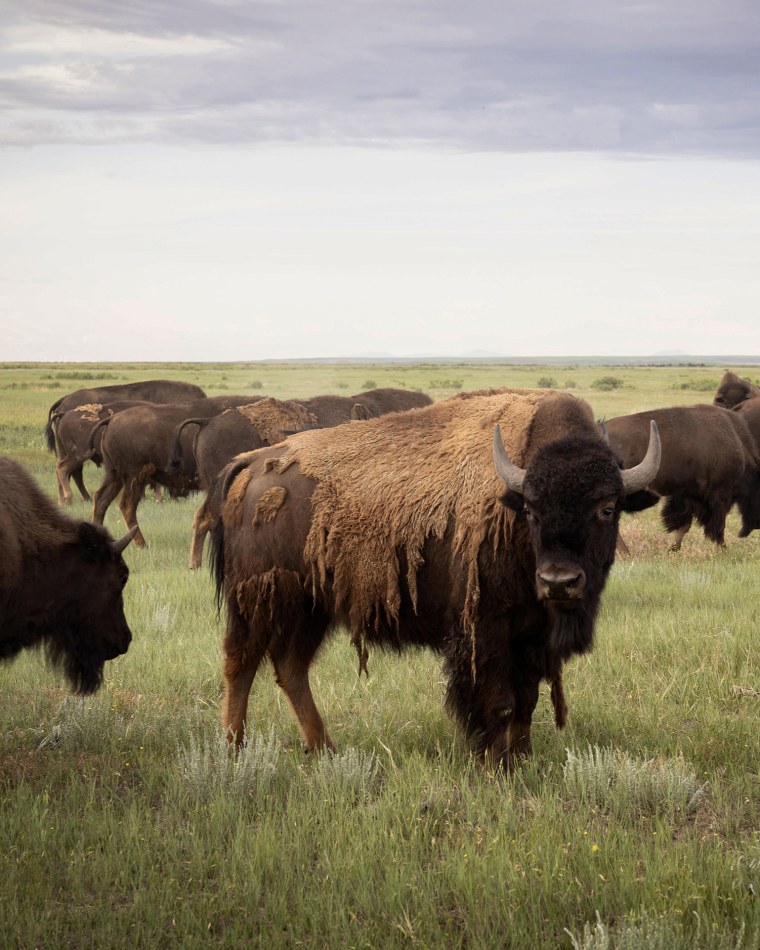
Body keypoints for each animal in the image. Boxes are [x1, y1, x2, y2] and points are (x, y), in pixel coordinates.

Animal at [211, 389, 660, 770]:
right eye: (531, 510)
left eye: (607, 508)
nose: (559, 582)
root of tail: (252, 462)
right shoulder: (484, 630)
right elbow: (500, 701)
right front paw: (496, 766)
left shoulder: (532, 634)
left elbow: (527, 701)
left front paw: (523, 760)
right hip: (261, 601)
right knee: (241, 663)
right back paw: (234, 750)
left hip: (312, 608)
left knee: (290, 668)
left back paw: (324, 749)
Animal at [605, 404, 760, 551]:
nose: (756, 526)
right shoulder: (719, 495)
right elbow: (717, 526)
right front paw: (722, 548)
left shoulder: (686, 495)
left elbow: (685, 526)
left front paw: (673, 549)